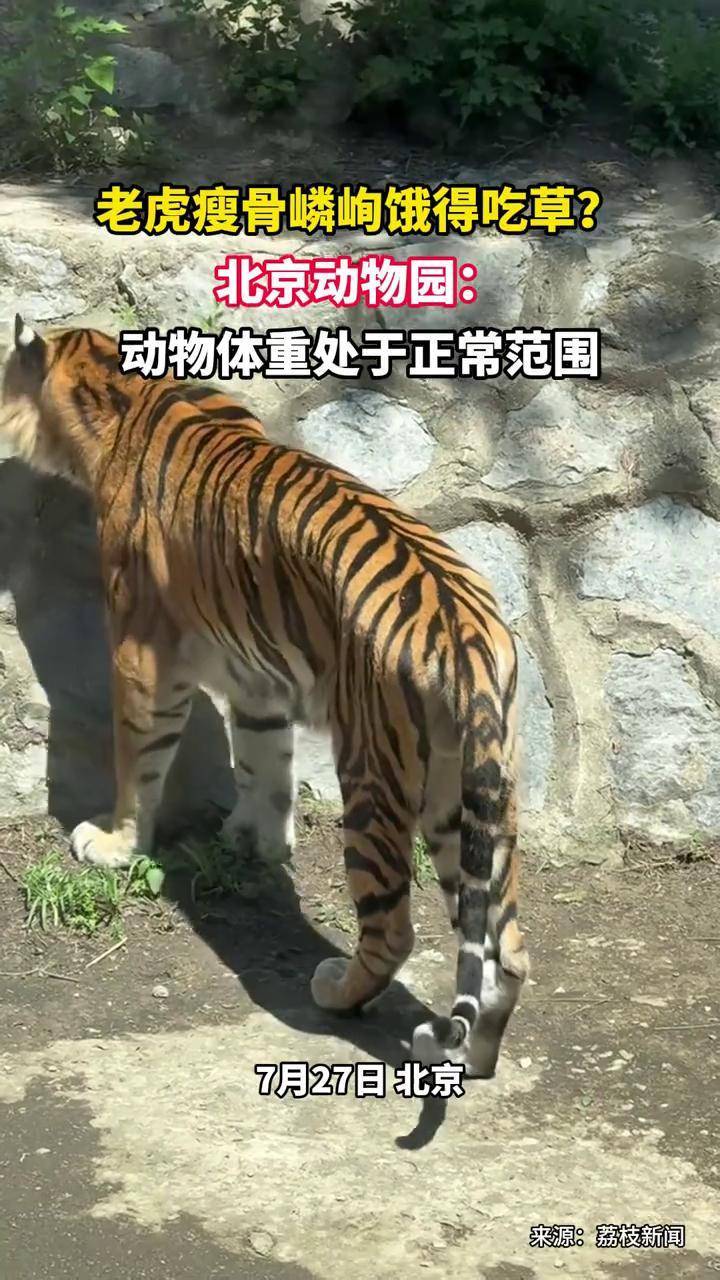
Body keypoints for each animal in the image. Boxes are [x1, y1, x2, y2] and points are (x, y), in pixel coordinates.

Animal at [1, 315, 529, 1077]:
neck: (119, 391)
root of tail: (465, 630)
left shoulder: (141, 654)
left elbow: (138, 763)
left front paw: (115, 841)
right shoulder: (258, 675)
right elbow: (263, 761)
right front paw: (258, 842)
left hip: (376, 779)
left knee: (393, 930)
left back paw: (336, 992)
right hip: (469, 799)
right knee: (506, 952)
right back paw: (478, 1058)